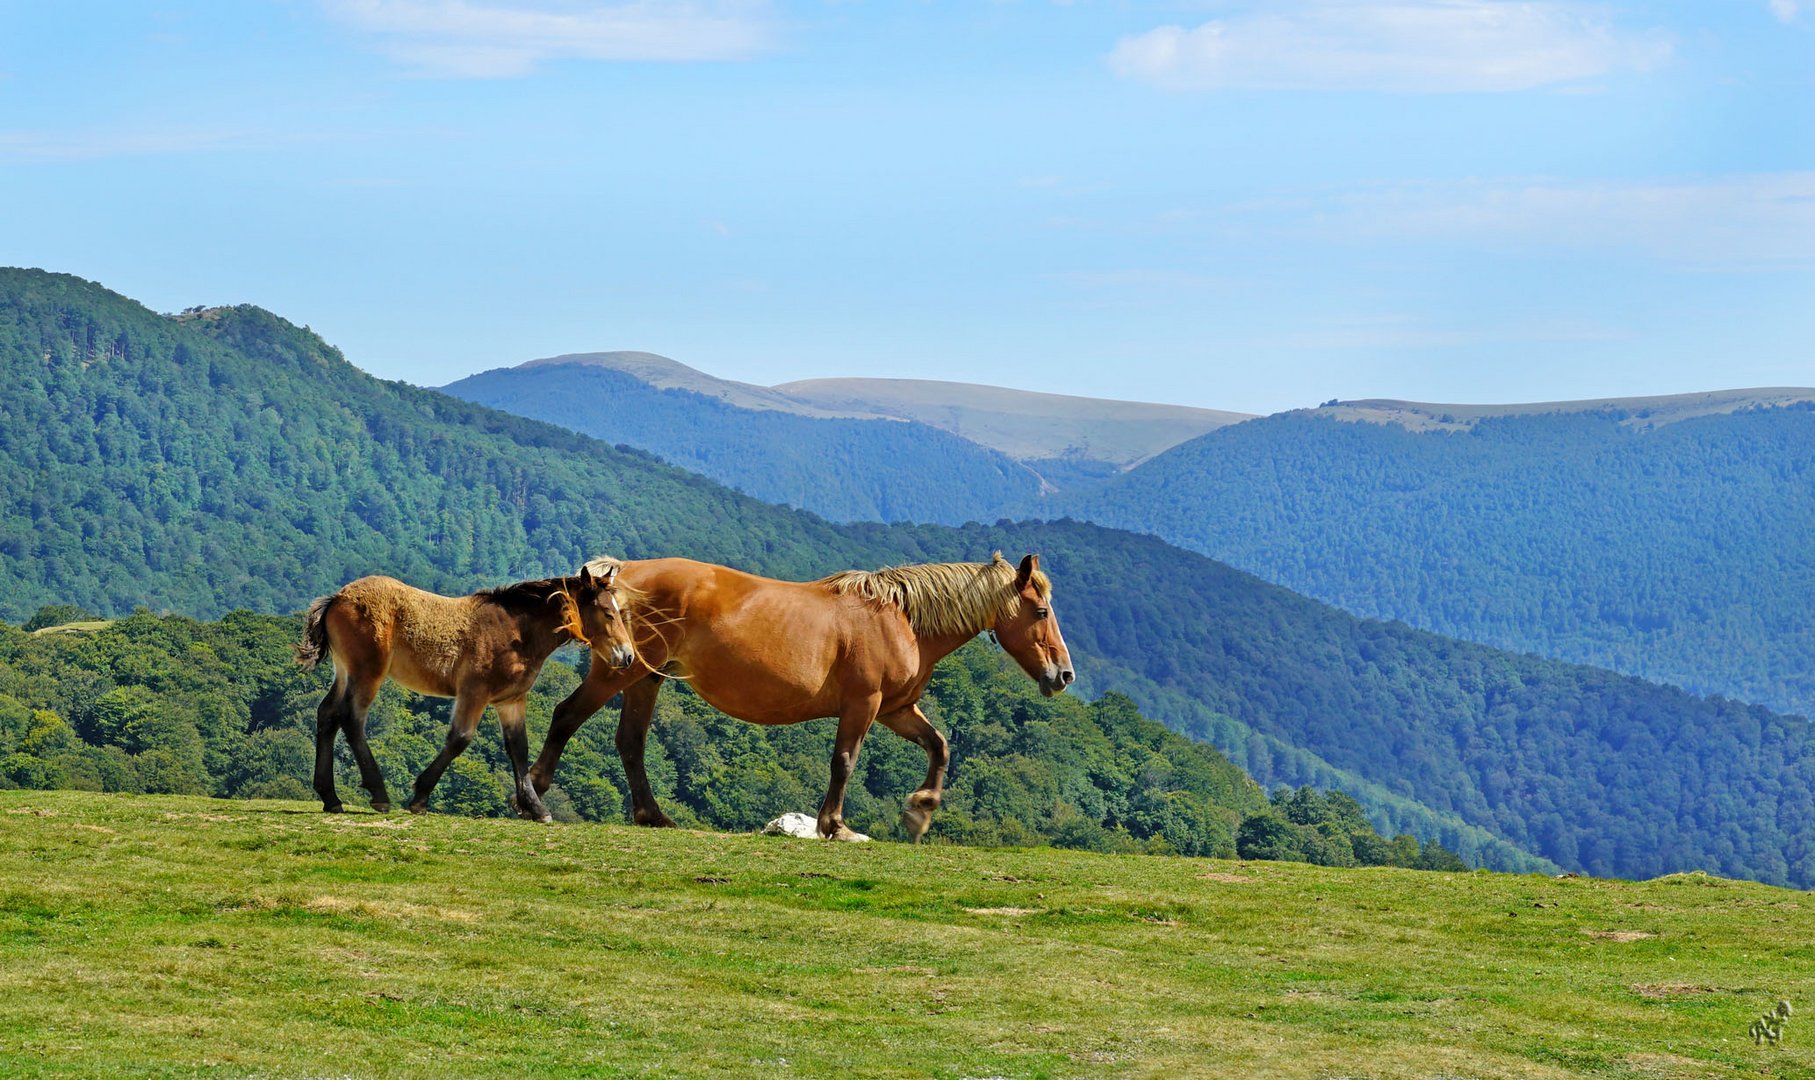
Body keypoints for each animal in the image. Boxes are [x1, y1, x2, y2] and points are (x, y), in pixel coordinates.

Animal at [295, 566, 638, 820]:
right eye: (607, 612)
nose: (628, 656)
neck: (516, 633)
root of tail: (337, 598)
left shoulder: (510, 700)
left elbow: (519, 748)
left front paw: (535, 808)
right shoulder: (474, 693)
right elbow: (460, 738)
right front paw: (420, 797)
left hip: (345, 672)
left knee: (327, 714)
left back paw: (330, 797)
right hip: (368, 673)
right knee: (352, 719)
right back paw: (378, 794)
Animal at [526, 551, 1067, 842]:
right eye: (1040, 611)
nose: (1063, 674)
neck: (899, 619)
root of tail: (622, 574)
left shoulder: (895, 710)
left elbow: (939, 745)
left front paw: (920, 811)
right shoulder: (864, 705)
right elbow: (844, 762)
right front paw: (836, 826)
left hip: (645, 679)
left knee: (631, 743)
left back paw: (653, 816)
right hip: (621, 672)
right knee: (567, 716)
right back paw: (532, 794)